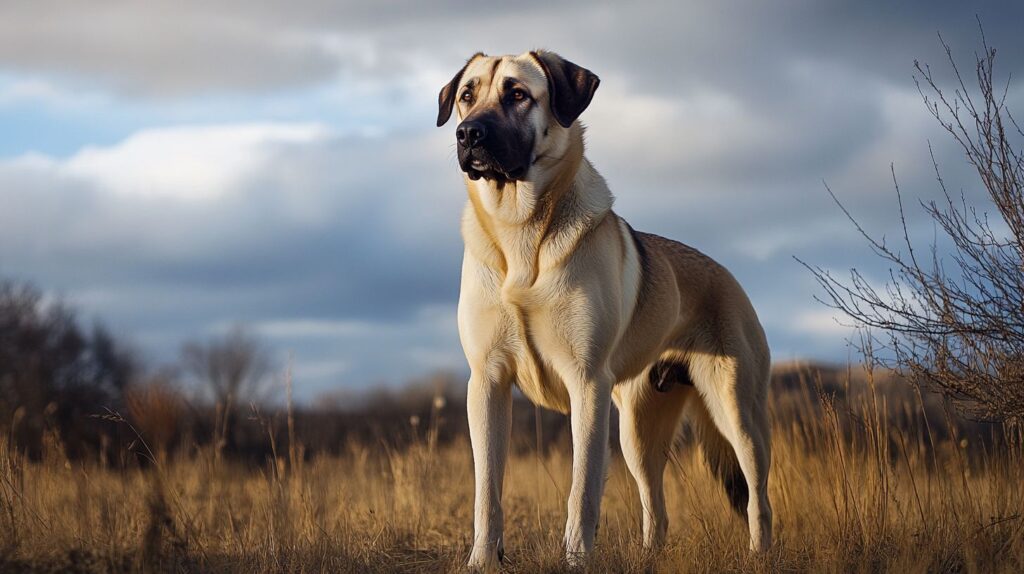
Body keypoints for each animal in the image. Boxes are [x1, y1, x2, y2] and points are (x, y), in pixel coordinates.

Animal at [436, 50, 770, 568]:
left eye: (518, 94)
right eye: (467, 95)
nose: (468, 134)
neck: (520, 232)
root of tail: (728, 275)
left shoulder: (586, 383)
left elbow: (582, 493)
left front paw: (576, 561)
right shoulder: (487, 382)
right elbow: (486, 492)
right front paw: (482, 562)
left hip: (738, 413)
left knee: (757, 498)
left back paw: (759, 554)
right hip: (638, 431)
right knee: (656, 507)